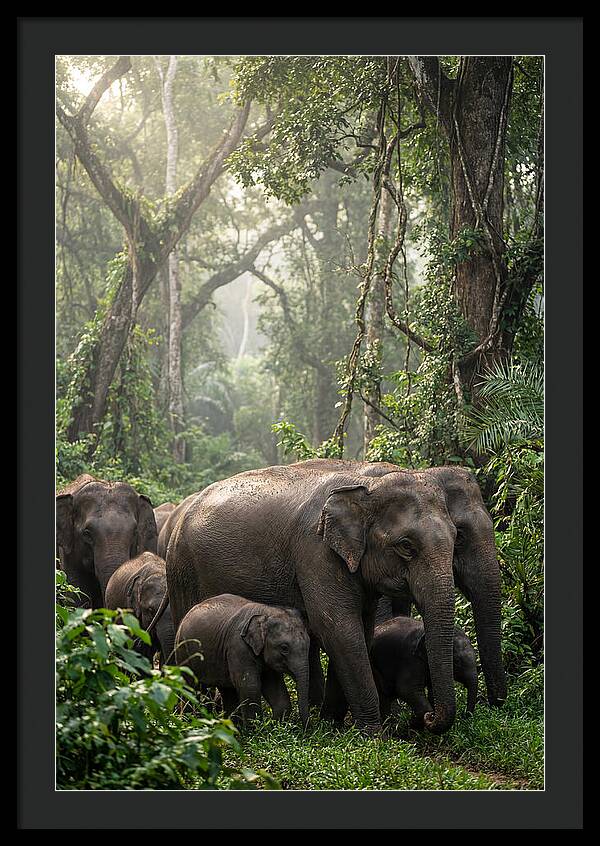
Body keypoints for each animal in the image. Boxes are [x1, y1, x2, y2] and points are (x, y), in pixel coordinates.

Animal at [175, 593, 311, 726]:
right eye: (284, 648)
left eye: (309, 643)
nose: (305, 729)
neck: (266, 612)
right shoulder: (238, 647)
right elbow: (249, 686)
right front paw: (255, 730)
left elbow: (276, 690)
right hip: (183, 652)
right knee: (190, 688)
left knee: (226, 691)